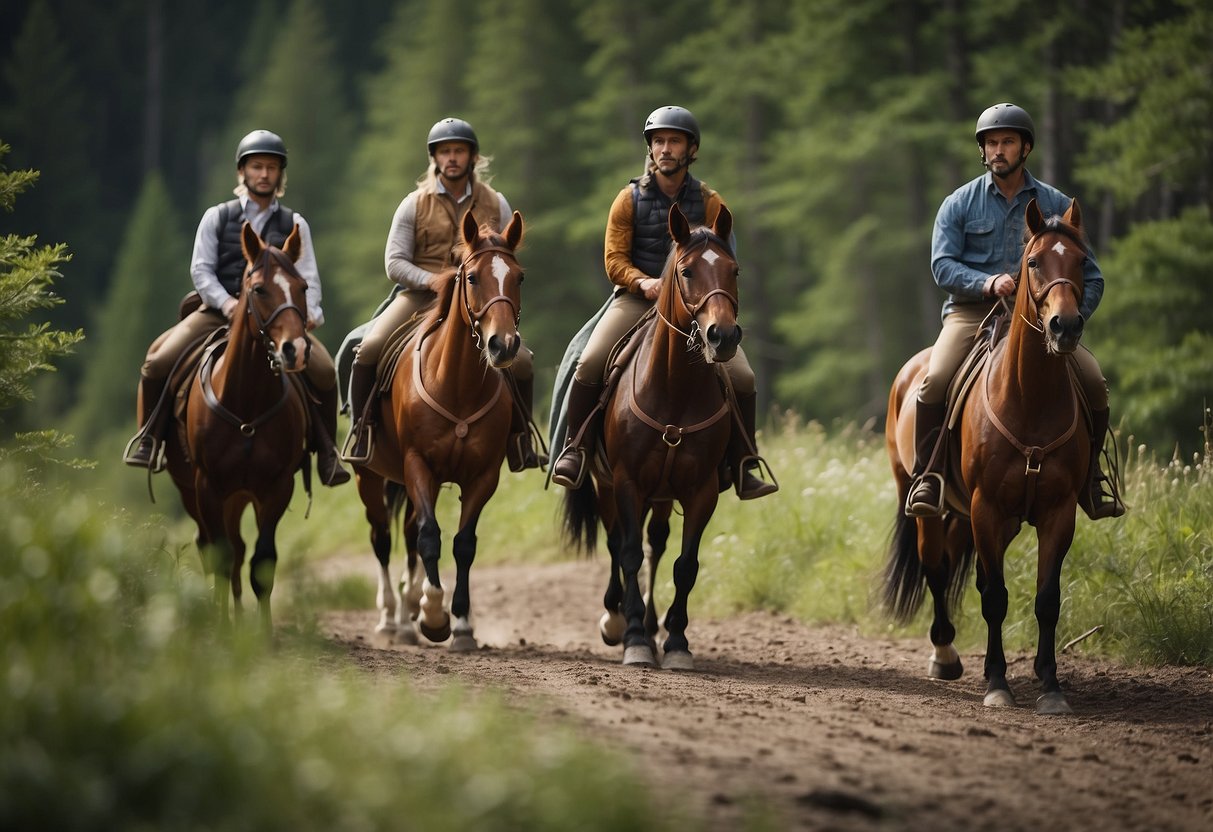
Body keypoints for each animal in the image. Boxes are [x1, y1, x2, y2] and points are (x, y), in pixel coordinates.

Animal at [168, 221, 315, 630]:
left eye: (303, 287)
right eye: (259, 289)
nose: (295, 349)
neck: (247, 405)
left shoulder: (276, 489)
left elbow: (261, 563)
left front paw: (261, 634)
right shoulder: (208, 487)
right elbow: (219, 558)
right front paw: (221, 628)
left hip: (239, 497)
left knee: (238, 549)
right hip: (193, 492)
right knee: (213, 548)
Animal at [349, 208, 524, 650]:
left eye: (519, 277)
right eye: (472, 277)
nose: (503, 345)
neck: (457, 385)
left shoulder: (483, 476)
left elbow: (463, 544)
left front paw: (459, 623)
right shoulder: (417, 465)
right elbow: (430, 536)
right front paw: (432, 614)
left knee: (409, 535)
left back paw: (408, 615)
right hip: (369, 477)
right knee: (384, 538)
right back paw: (391, 617)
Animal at [560, 204, 737, 674]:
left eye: (734, 270)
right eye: (687, 271)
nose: (723, 336)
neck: (675, 390)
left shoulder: (701, 490)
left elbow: (685, 564)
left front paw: (675, 642)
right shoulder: (627, 482)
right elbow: (628, 554)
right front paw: (636, 639)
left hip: (661, 494)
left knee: (656, 544)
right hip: (608, 485)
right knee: (617, 541)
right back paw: (616, 619)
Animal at [887, 197, 1096, 717]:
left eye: (1081, 261)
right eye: (1034, 262)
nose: (1065, 326)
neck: (1029, 399)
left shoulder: (1057, 513)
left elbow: (1046, 598)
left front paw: (1050, 685)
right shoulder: (988, 508)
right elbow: (996, 598)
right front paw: (998, 684)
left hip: (968, 517)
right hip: (933, 506)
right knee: (937, 568)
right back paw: (945, 656)